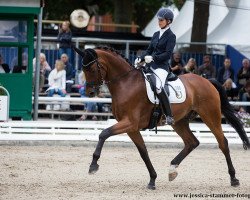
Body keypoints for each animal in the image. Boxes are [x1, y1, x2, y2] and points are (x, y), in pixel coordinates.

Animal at [73, 46, 250, 190]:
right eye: (83, 69)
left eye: (92, 69)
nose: (90, 92)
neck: (125, 83)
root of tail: (207, 81)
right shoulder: (132, 128)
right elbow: (143, 152)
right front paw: (152, 180)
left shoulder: (129, 123)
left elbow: (103, 133)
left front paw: (93, 165)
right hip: (179, 122)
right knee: (192, 142)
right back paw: (172, 170)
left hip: (210, 116)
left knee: (223, 142)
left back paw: (234, 179)